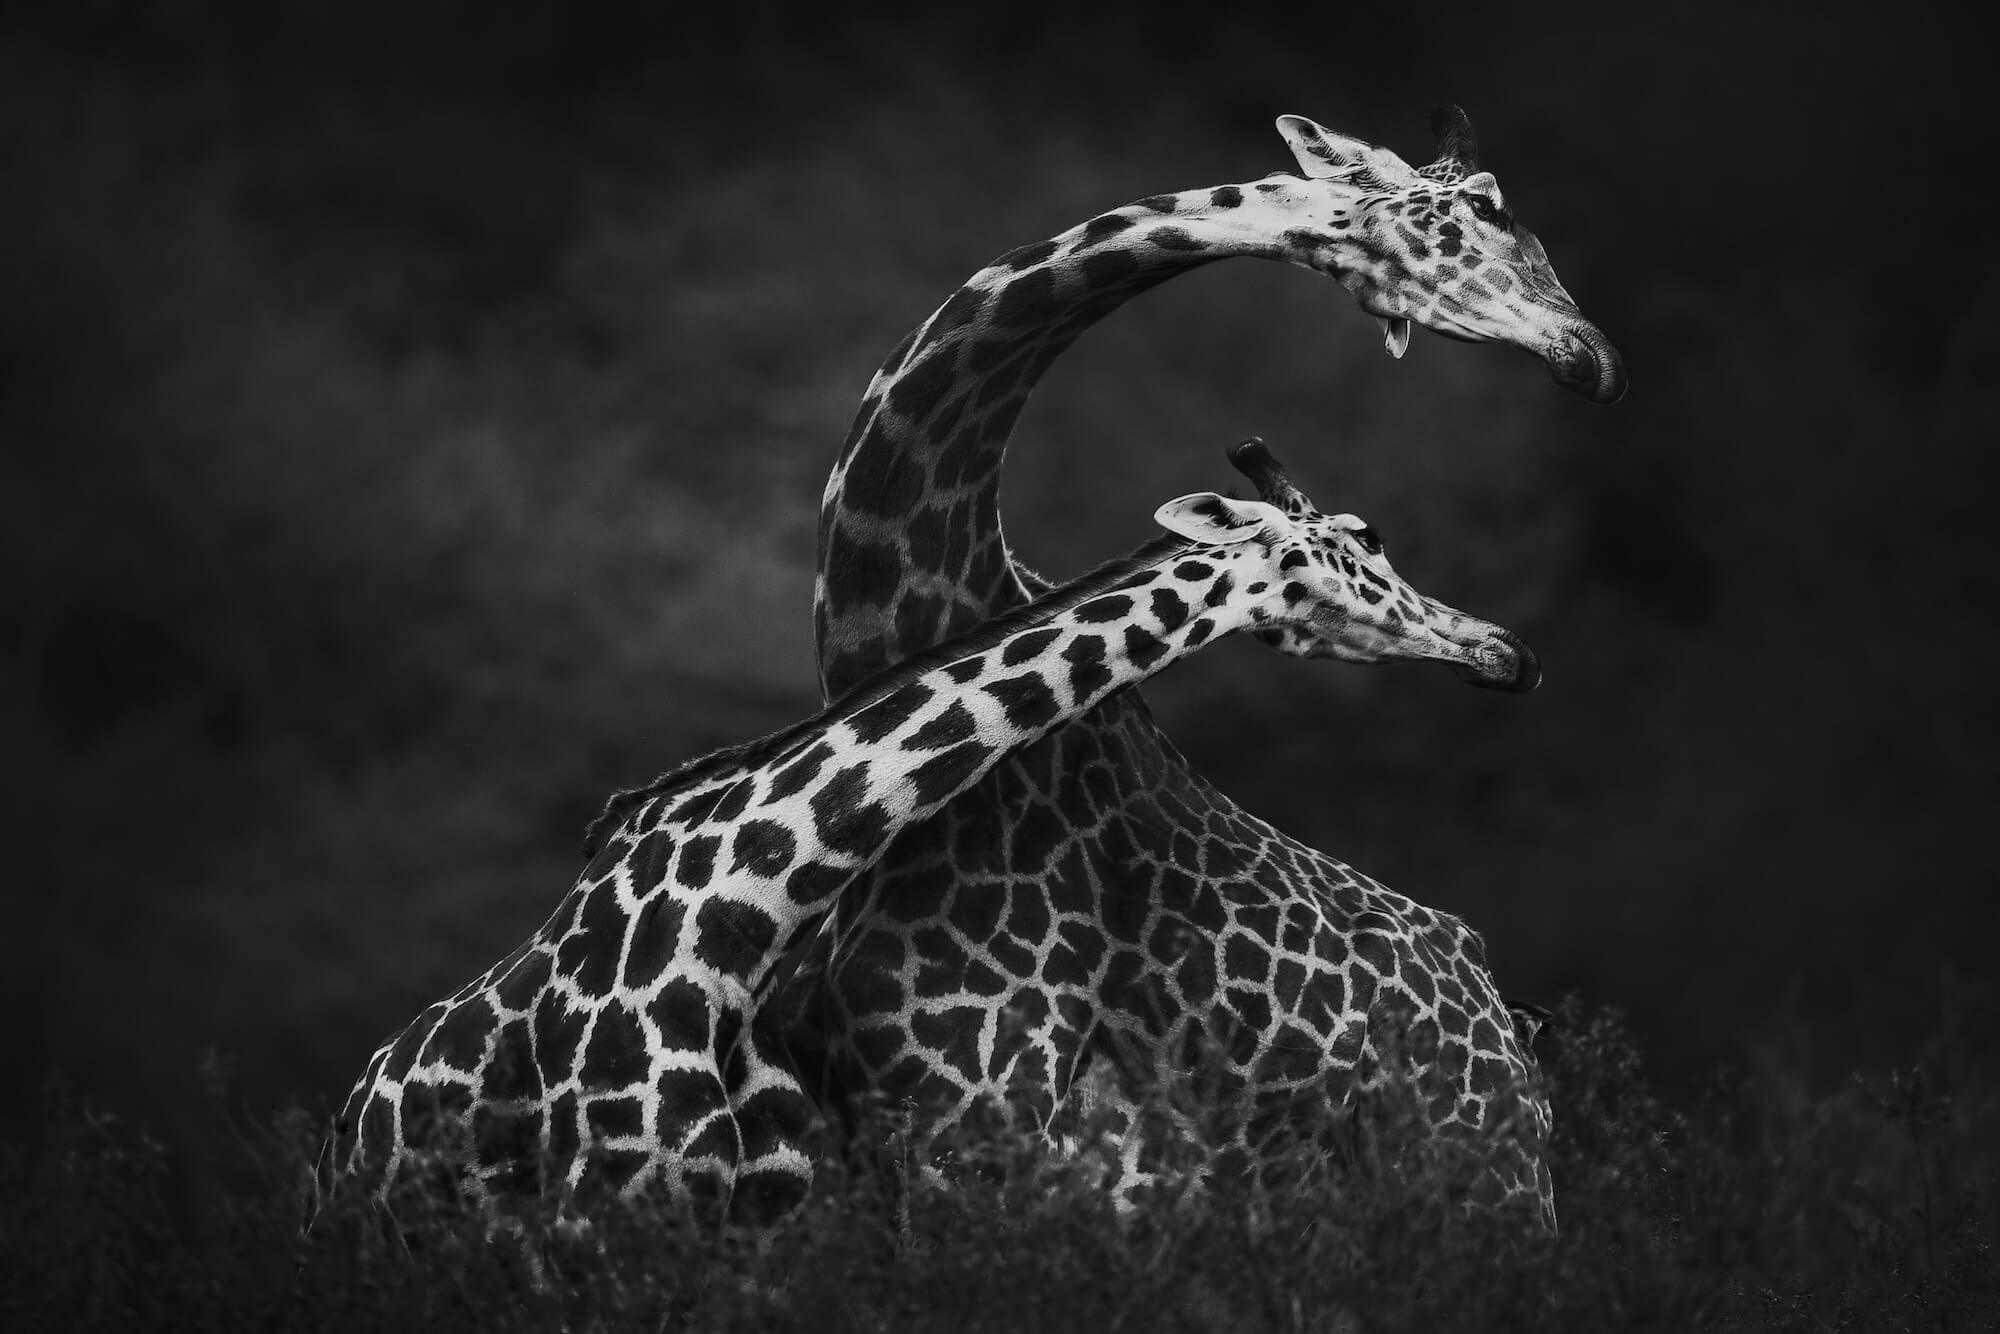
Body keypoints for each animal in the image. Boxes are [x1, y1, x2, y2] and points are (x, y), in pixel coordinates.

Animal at [314, 440, 1544, 1243]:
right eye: (1366, 537)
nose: (1505, 649)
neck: (731, 916)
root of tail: (340, 1128)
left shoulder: (757, 1220)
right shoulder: (610, 1211)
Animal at [786, 108, 1603, 1226]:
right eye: (1485, 203)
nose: (1590, 355)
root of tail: (1507, 1018)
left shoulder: (990, 1113)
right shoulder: (899, 1132)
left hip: (1488, 1180)